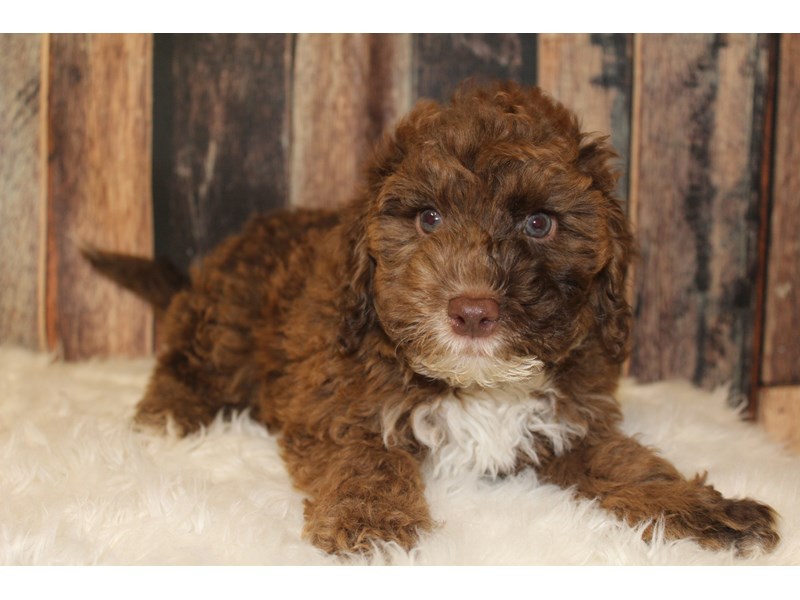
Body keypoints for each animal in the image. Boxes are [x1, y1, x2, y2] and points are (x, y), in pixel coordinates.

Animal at [85, 81, 779, 557]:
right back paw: (168, 416)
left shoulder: (571, 418)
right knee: (188, 362)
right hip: (224, 324)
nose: (471, 311)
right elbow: (365, 457)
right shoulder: (338, 399)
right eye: (428, 219)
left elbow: (626, 463)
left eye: (539, 223)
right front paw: (374, 524)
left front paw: (701, 508)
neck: (478, 384)